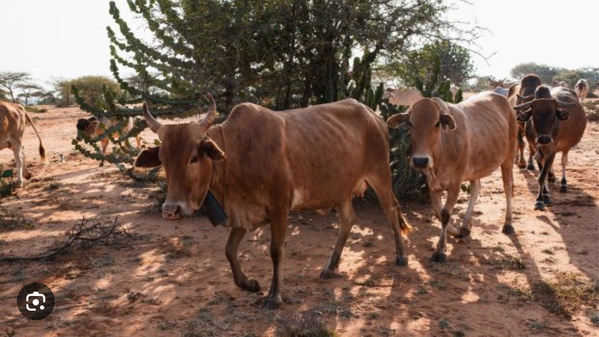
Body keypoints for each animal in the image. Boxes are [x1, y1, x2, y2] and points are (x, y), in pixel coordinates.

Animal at [134, 94, 412, 308]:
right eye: (163, 159)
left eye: (193, 157)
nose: (171, 210)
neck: (238, 153)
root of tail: (374, 116)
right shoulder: (242, 212)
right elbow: (229, 250)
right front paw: (249, 284)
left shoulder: (279, 208)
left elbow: (276, 251)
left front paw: (274, 296)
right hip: (340, 189)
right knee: (348, 220)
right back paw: (330, 267)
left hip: (380, 175)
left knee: (391, 210)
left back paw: (401, 256)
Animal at [386, 92, 516, 262]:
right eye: (410, 123)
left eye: (437, 123)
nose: (420, 160)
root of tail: (503, 99)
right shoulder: (433, 184)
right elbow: (438, 212)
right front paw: (458, 232)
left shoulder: (455, 184)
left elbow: (446, 214)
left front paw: (440, 250)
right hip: (475, 168)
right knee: (476, 188)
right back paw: (465, 225)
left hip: (509, 158)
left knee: (508, 188)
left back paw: (508, 224)